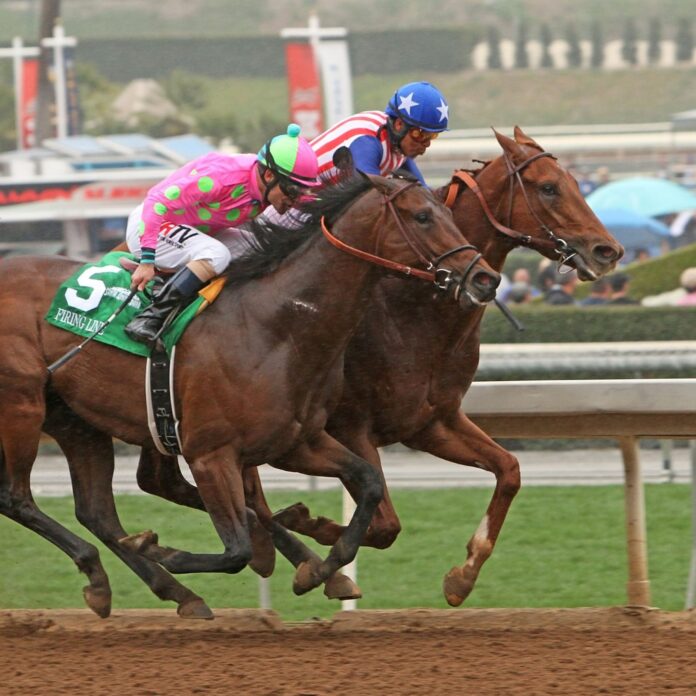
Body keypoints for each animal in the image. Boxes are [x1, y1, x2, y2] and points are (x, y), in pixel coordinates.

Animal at [0, 173, 500, 616]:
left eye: (446, 211)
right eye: (422, 216)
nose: (485, 279)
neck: (276, 326)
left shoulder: (297, 442)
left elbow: (369, 485)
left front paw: (323, 570)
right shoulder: (211, 454)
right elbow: (235, 548)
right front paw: (162, 548)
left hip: (76, 421)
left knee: (97, 512)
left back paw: (158, 590)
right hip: (22, 403)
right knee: (17, 498)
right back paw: (112, 570)